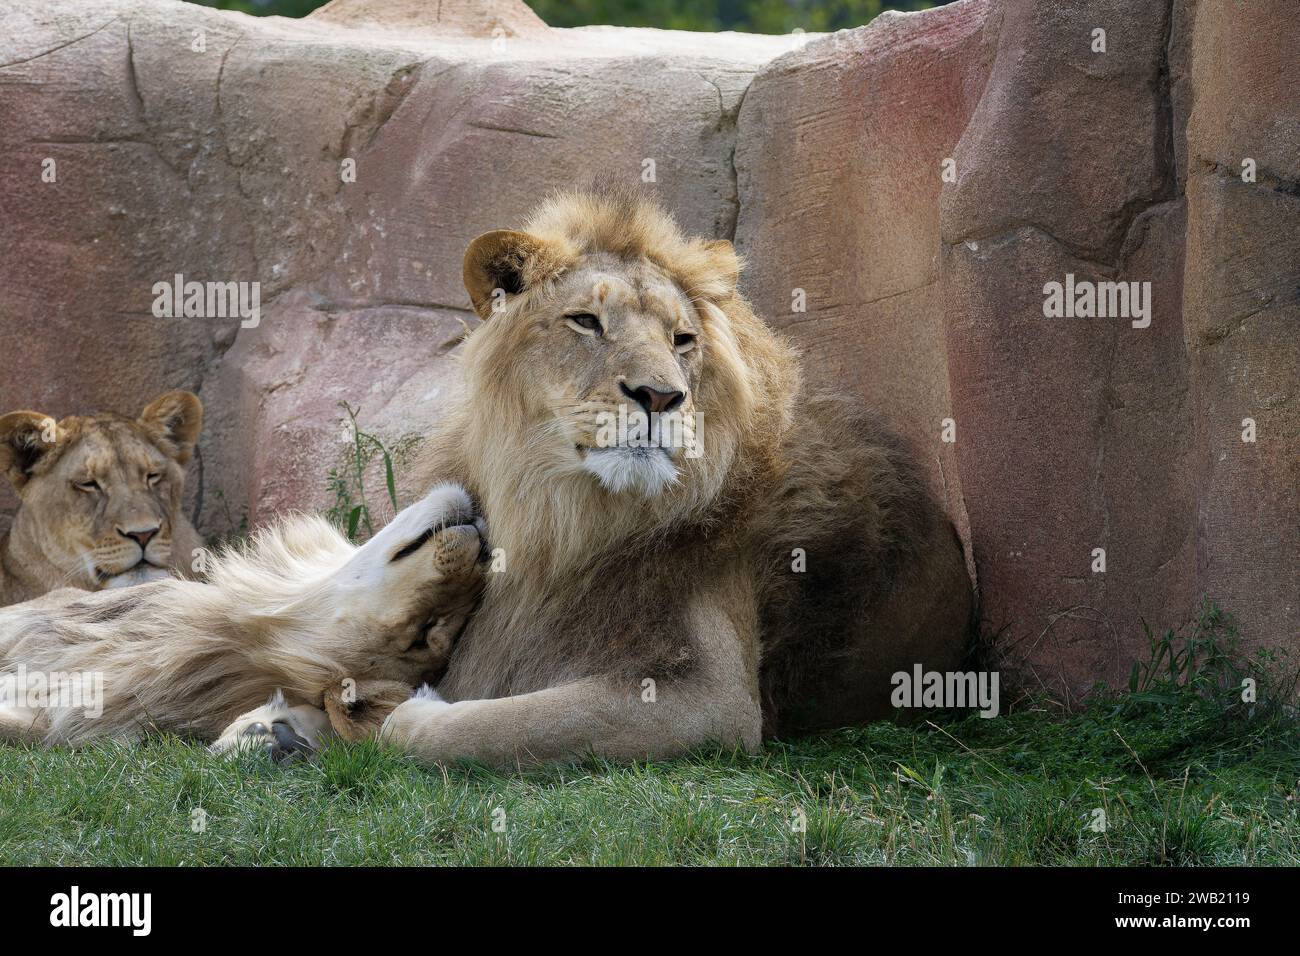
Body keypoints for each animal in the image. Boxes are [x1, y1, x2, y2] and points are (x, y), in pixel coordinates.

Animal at [223, 187, 977, 764]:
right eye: (586, 321)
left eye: (682, 339)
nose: (661, 396)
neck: (563, 517)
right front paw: (263, 730)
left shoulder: (711, 700)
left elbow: (499, 722)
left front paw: (406, 716)